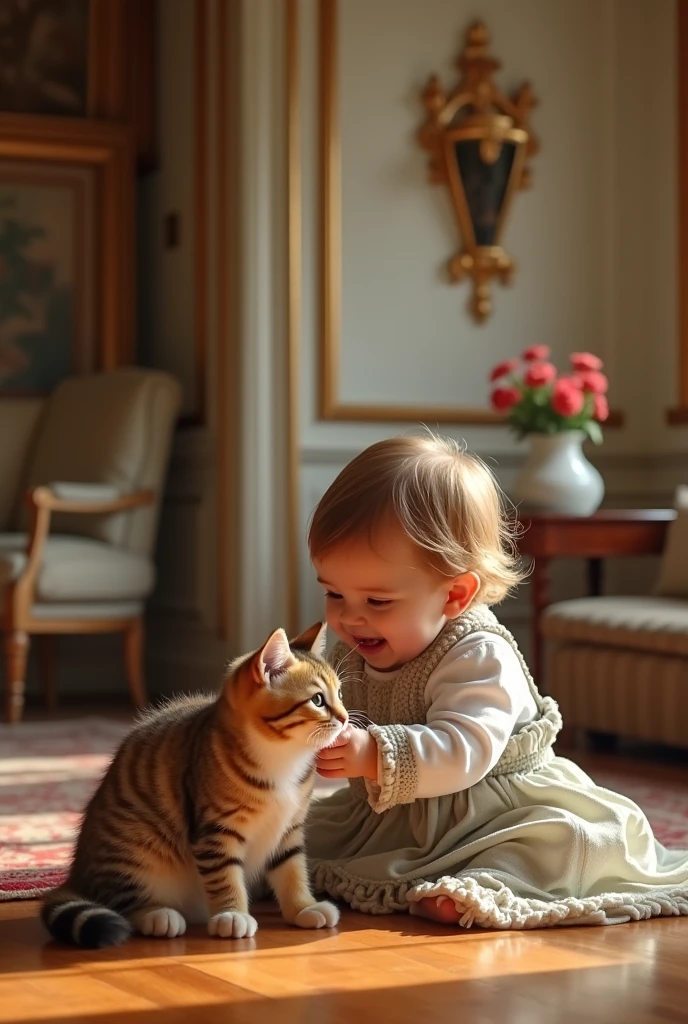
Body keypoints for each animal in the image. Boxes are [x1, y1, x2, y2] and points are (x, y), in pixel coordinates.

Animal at [40, 618, 346, 946]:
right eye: (317, 700)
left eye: (340, 695)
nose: (345, 719)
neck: (284, 759)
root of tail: (77, 874)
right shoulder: (216, 831)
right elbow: (226, 876)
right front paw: (232, 914)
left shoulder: (289, 829)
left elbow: (292, 870)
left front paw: (303, 907)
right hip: (134, 850)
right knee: (123, 900)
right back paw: (157, 915)